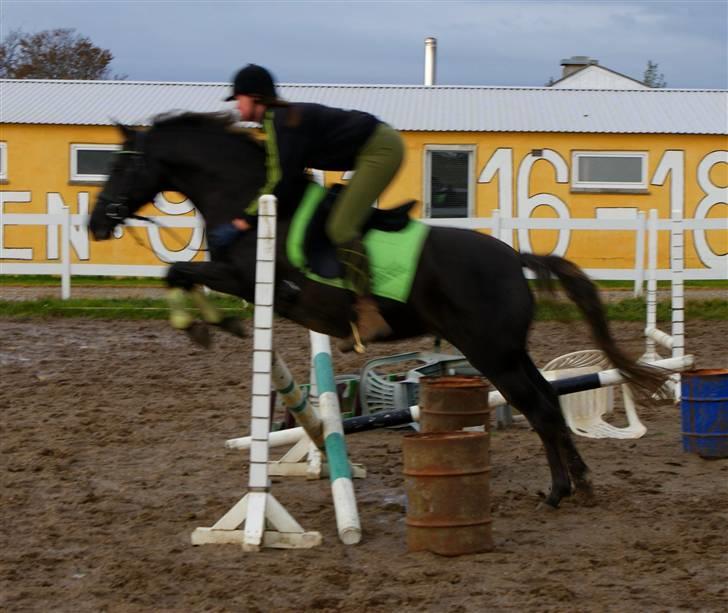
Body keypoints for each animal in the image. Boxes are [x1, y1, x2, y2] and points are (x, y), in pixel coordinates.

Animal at [86, 110, 664, 506]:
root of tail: (513, 258)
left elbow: (182, 271)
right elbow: (178, 272)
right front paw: (204, 321)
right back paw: (579, 483)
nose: (96, 222)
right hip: (508, 351)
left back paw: (559, 490)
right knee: (547, 401)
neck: (244, 195)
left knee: (540, 408)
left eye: (119, 165)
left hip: (490, 353)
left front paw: (206, 323)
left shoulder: (254, 279)